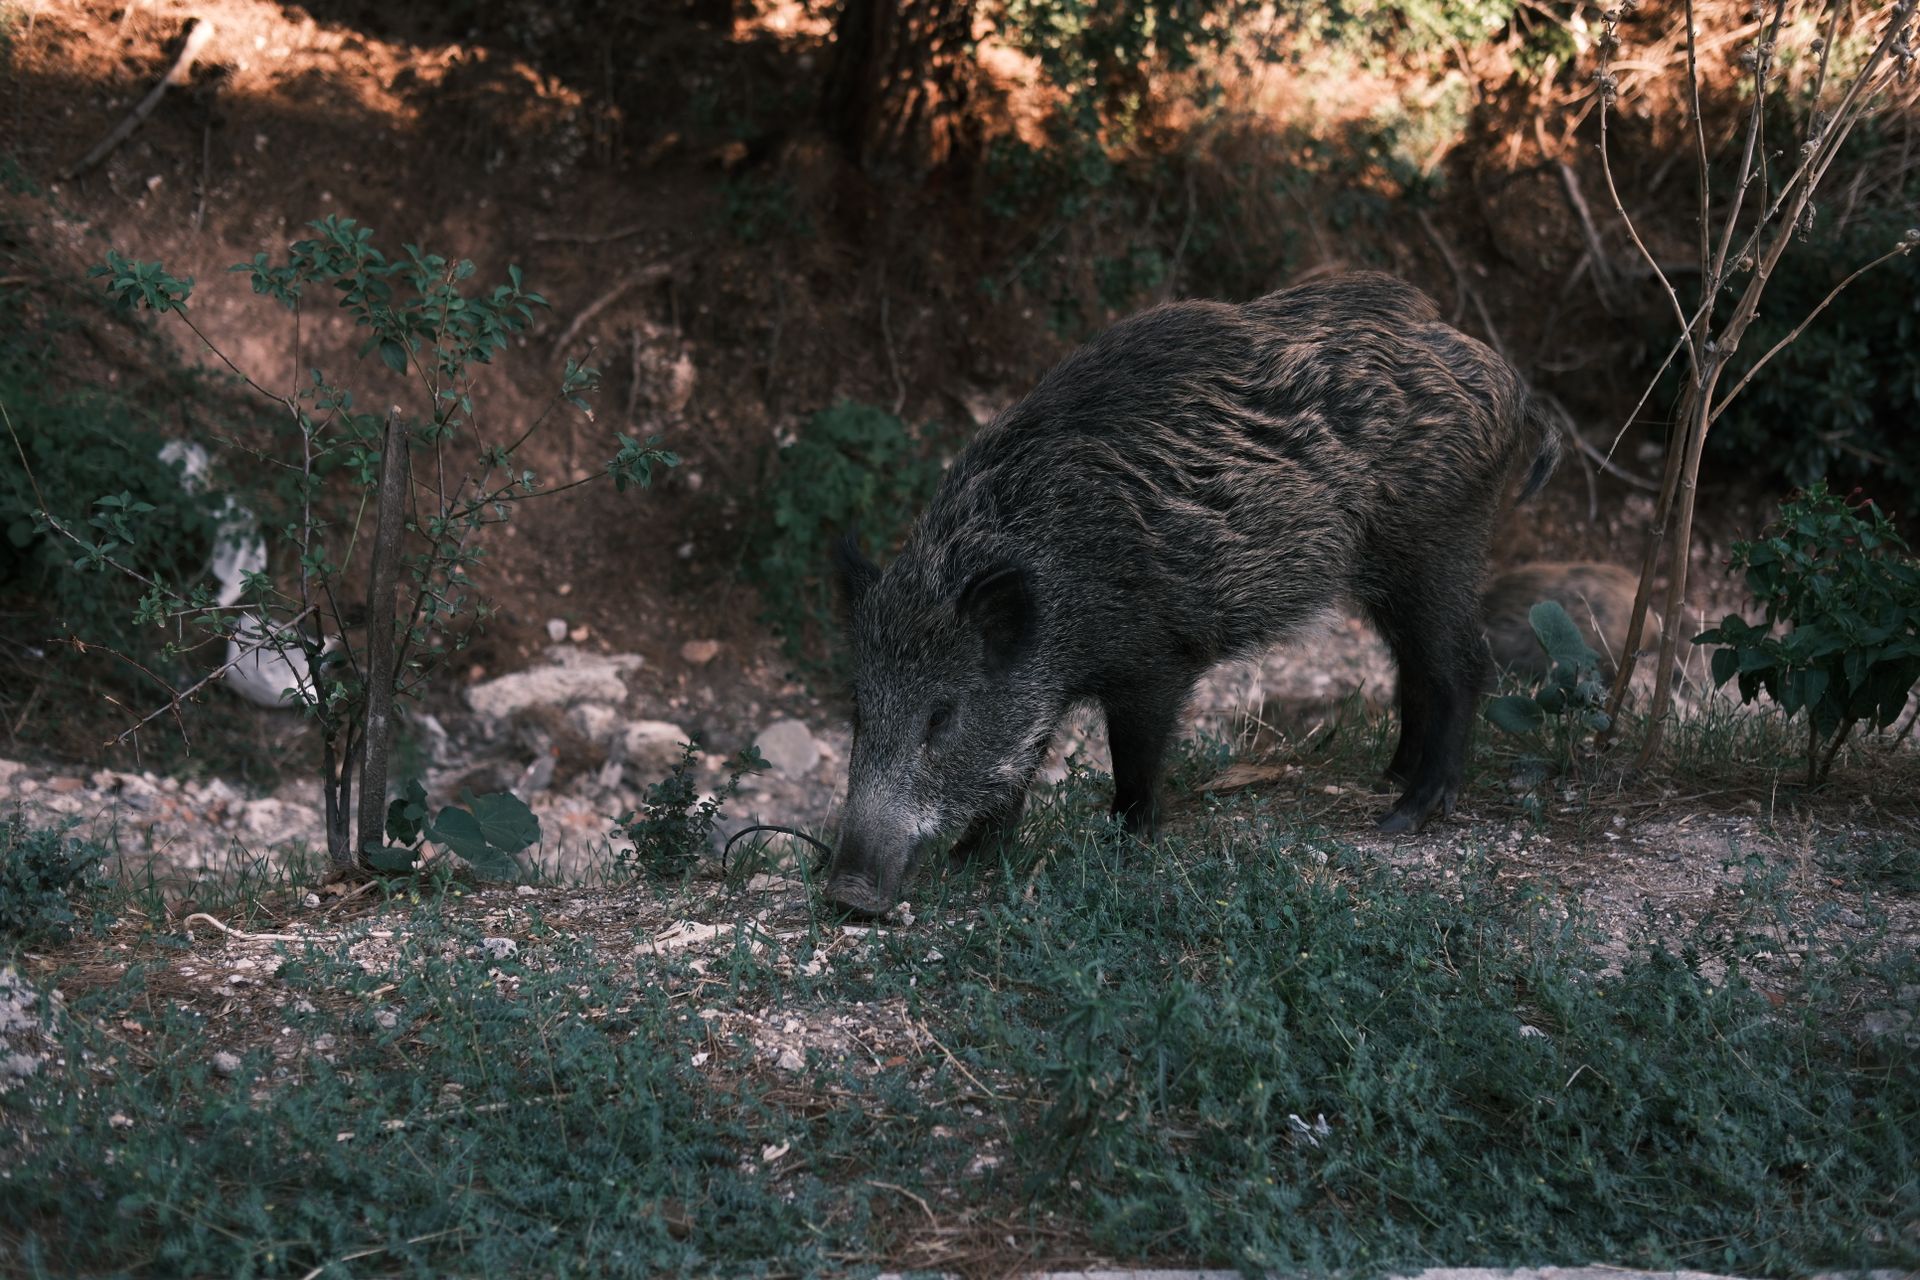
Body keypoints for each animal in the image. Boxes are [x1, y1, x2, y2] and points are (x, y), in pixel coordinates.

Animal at [826, 271, 1561, 914]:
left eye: (940, 717)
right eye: (860, 709)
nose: (846, 894)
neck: (1059, 582)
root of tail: (1506, 380)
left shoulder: (1153, 661)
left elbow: (1132, 759)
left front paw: (1125, 844)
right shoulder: (1039, 683)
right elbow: (1019, 762)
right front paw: (971, 861)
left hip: (1437, 543)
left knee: (1463, 665)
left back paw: (1407, 815)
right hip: (1391, 573)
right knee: (1414, 666)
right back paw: (1393, 777)